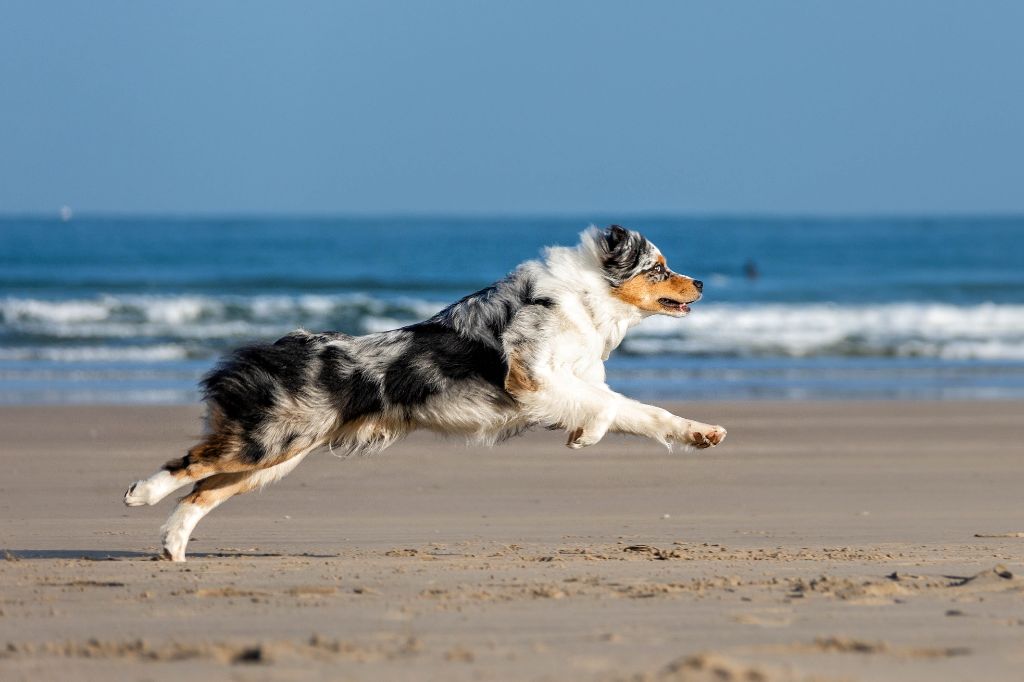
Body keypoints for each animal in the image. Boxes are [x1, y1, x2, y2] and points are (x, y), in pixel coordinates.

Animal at [121, 223, 729, 557]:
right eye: (659, 268)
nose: (701, 282)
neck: (585, 297)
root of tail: (285, 347)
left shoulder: (567, 379)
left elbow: (636, 411)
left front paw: (696, 433)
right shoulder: (532, 378)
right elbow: (615, 404)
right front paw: (590, 432)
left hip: (275, 459)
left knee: (204, 490)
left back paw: (172, 546)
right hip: (269, 440)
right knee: (191, 464)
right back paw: (141, 494)